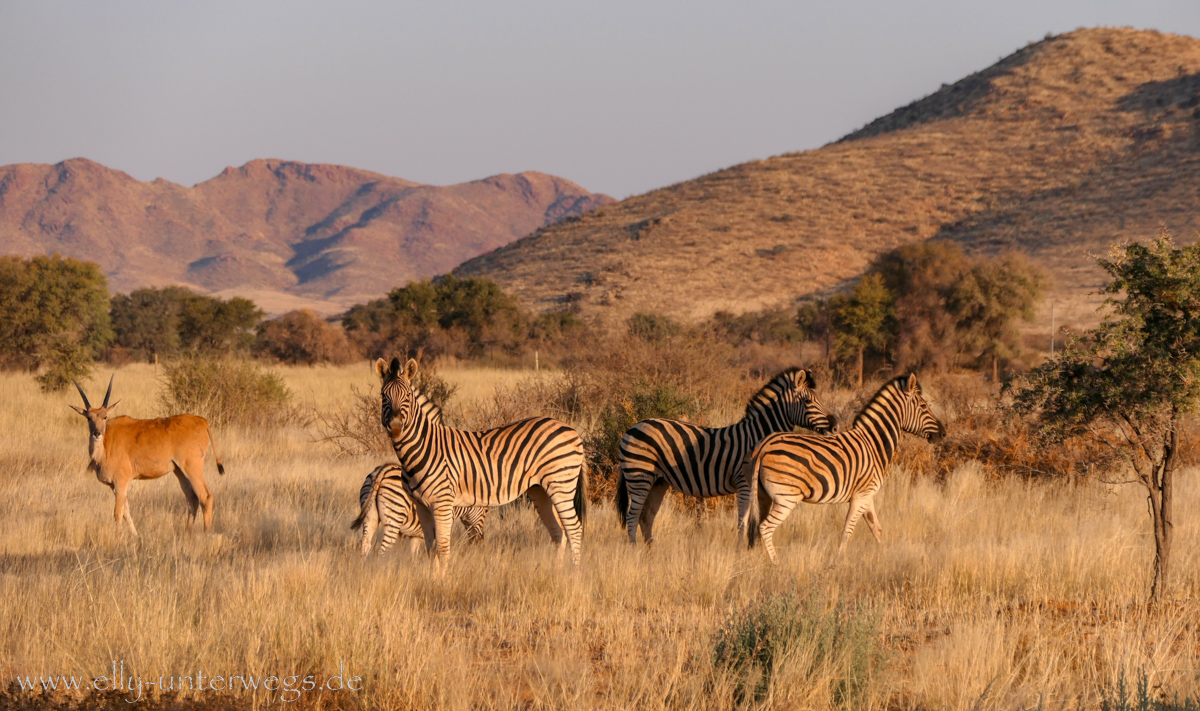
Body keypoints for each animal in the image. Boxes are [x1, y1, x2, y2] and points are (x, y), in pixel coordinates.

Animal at [70, 377, 226, 533]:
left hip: (192, 467)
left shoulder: (121, 482)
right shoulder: (114, 486)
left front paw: (119, 535)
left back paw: (206, 533)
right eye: (89, 418)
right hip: (180, 471)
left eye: (105, 416)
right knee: (192, 499)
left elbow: (118, 513)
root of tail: (202, 421)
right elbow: (126, 511)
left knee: (205, 497)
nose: (96, 433)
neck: (105, 445)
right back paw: (187, 532)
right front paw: (135, 535)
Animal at [350, 463, 489, 557]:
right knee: (383, 550)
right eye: (487, 510)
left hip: (370, 515)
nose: (480, 541)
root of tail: (382, 470)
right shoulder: (431, 532)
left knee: (365, 543)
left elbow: (413, 556)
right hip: (394, 517)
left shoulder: (415, 536)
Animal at [369, 357, 585, 564]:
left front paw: (443, 577)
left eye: (407, 396)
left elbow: (443, 549)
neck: (424, 448)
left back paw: (574, 572)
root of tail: (570, 429)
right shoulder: (421, 505)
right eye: (383, 396)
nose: (395, 428)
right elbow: (431, 549)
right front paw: (431, 575)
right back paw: (557, 571)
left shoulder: (443, 502)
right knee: (558, 531)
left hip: (561, 484)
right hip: (540, 489)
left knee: (574, 529)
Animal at [614, 367, 840, 545]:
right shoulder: (744, 483)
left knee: (646, 517)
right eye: (808, 401)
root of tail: (632, 427)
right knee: (632, 517)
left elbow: (755, 519)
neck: (758, 436)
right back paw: (635, 552)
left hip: (658, 481)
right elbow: (743, 521)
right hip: (639, 475)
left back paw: (651, 553)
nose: (835, 426)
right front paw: (741, 551)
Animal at [744, 372, 940, 562]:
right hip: (787, 497)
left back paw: (761, 560)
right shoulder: (861, 496)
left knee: (757, 527)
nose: (943, 432)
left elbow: (876, 528)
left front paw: (884, 556)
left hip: (763, 496)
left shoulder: (867, 495)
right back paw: (776, 563)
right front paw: (839, 560)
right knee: (765, 527)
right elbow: (847, 530)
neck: (873, 444)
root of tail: (764, 445)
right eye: (923, 406)